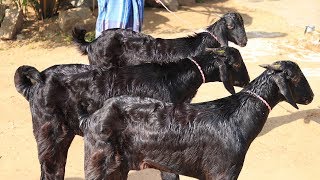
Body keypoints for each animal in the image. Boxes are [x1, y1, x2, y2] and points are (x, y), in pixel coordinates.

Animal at [79, 60, 312, 180]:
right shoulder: (222, 174)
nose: (311, 95)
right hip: (98, 166)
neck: (237, 116)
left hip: (118, 170)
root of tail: (90, 119)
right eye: (298, 77)